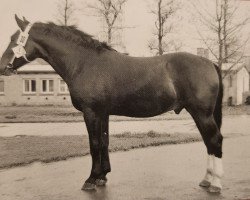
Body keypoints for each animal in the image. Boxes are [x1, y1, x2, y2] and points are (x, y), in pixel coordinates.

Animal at [0, 16, 223, 194]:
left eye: (13, 39)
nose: (3, 67)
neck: (84, 63)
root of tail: (210, 63)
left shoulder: (91, 112)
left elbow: (94, 144)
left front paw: (91, 179)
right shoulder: (103, 113)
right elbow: (104, 142)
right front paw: (102, 176)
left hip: (202, 113)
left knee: (215, 140)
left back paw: (216, 184)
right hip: (200, 114)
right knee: (208, 142)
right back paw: (206, 180)